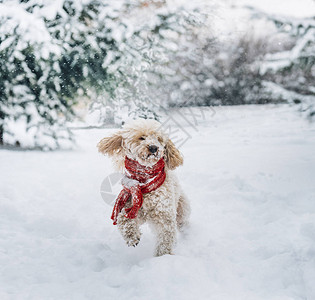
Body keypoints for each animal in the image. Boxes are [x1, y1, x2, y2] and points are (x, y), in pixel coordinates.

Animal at [97, 118, 190, 256]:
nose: (153, 147)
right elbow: (122, 219)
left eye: (158, 139)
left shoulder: (164, 216)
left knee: (183, 223)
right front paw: (132, 237)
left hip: (182, 209)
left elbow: (165, 239)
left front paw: (163, 256)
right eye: (142, 138)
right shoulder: (130, 204)